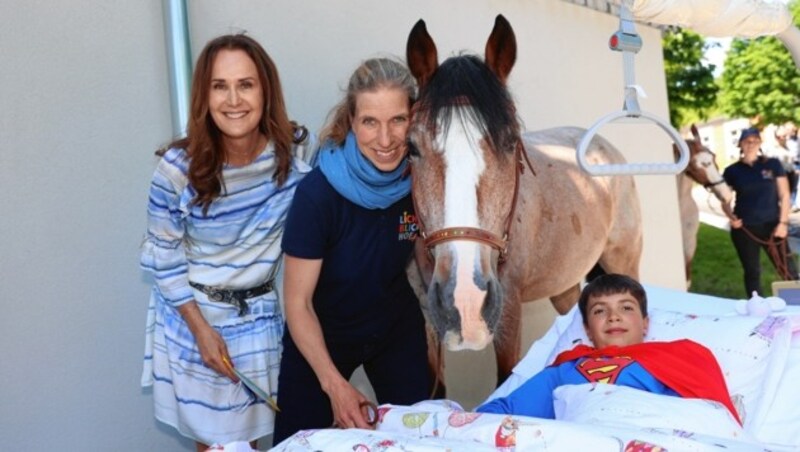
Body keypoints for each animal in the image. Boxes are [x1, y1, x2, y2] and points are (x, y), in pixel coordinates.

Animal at [406, 16, 644, 384]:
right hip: (565, 284)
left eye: (510, 142)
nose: (465, 301)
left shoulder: (508, 313)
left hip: (624, 260)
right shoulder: (428, 318)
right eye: (412, 147)